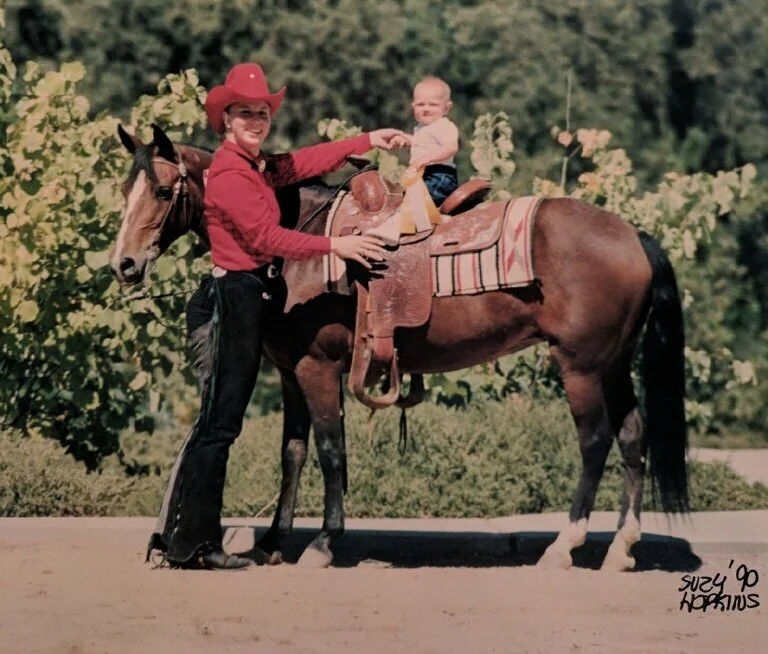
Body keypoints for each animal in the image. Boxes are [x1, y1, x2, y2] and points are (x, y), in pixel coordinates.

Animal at [110, 124, 689, 571]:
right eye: (123, 188)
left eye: (161, 191)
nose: (124, 264)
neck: (299, 244)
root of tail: (635, 237)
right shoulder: (290, 372)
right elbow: (292, 452)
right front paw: (273, 542)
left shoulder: (319, 368)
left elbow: (330, 450)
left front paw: (323, 543)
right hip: (614, 364)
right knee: (633, 437)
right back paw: (621, 548)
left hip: (580, 366)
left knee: (594, 442)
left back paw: (565, 546)